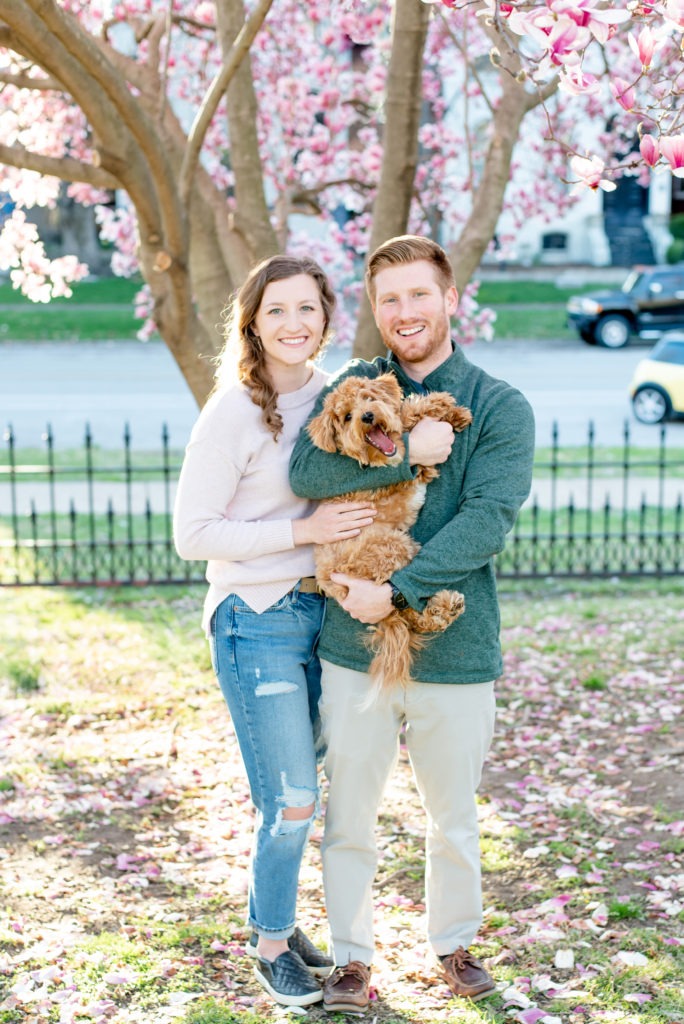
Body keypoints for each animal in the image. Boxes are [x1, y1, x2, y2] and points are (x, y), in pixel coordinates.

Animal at [309, 372, 473, 692]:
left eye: (369, 398)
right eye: (347, 417)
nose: (367, 416)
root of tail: (331, 584)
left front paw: (453, 414)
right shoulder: (399, 478)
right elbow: (409, 416)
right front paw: (441, 404)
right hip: (393, 548)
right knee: (409, 609)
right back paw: (444, 607)